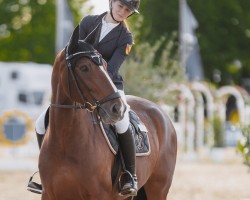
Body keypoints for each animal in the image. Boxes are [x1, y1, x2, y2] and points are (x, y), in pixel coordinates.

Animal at [38, 25, 177, 200]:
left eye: (104, 64)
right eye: (84, 68)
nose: (117, 109)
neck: (65, 139)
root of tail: (162, 113)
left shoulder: (99, 194)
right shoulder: (48, 194)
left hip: (158, 189)